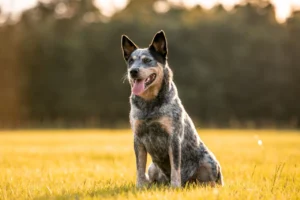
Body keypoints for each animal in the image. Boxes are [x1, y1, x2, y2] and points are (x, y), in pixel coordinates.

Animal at [121, 30, 223, 188]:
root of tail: (188, 182)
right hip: (153, 167)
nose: (133, 71)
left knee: (211, 180)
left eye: (147, 60)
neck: (149, 104)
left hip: (209, 161)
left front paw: (175, 187)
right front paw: (140, 186)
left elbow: (175, 167)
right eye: (131, 61)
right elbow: (139, 167)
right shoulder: (138, 138)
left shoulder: (174, 137)